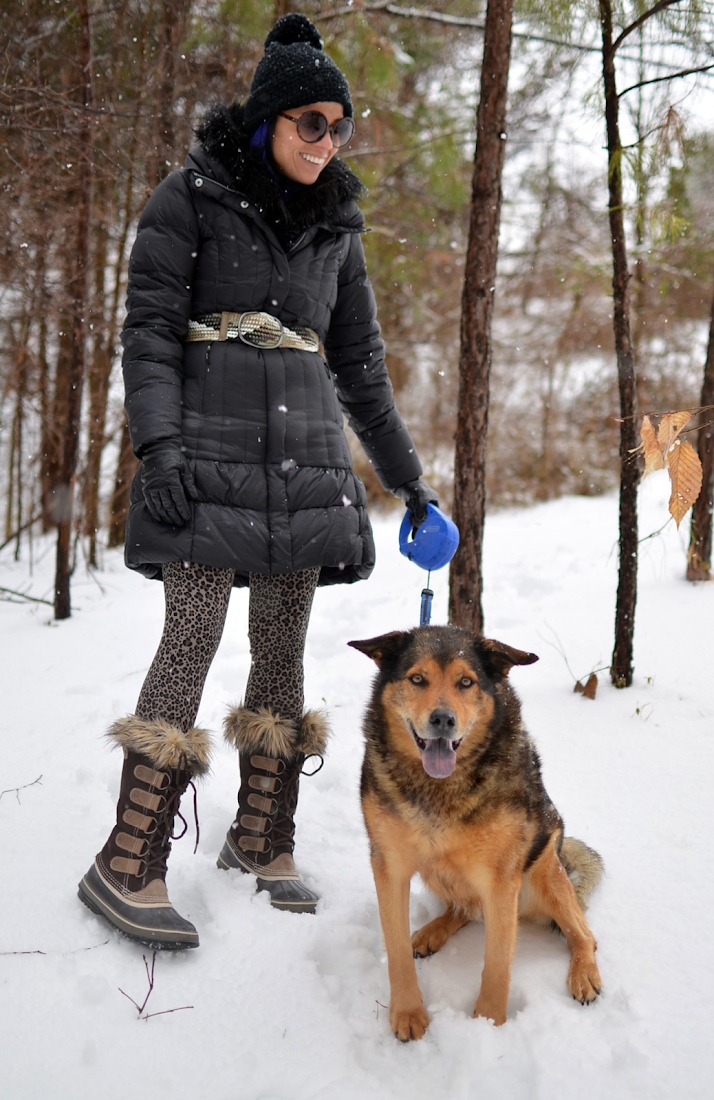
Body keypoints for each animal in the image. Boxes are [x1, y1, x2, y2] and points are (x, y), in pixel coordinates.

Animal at [349, 629, 602, 1038]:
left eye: (465, 682)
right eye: (417, 679)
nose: (442, 719)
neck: (438, 789)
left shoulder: (500, 880)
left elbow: (498, 962)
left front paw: (487, 1024)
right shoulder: (389, 865)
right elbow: (396, 949)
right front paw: (407, 1012)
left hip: (544, 871)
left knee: (583, 933)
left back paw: (583, 975)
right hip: (439, 872)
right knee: (461, 908)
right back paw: (431, 931)